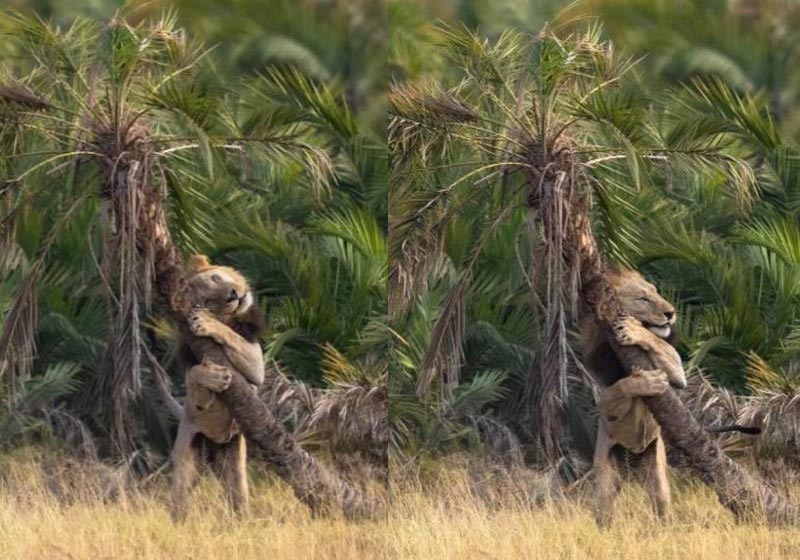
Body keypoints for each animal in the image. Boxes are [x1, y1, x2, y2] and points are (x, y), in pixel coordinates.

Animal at [170, 255, 266, 521]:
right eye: (210, 301)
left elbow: (232, 336)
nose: (233, 294)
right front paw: (213, 376)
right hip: (187, 460)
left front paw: (206, 323)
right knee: (179, 503)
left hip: (233, 462)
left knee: (238, 499)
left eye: (216, 278)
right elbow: (194, 375)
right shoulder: (197, 389)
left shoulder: (256, 366)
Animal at [581, 267, 686, 528]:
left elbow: (660, 343)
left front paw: (635, 331)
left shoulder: (679, 375)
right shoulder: (603, 399)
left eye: (656, 293)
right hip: (606, 475)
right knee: (604, 511)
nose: (671, 312)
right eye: (643, 299)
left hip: (656, 471)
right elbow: (621, 387)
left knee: (661, 504)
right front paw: (646, 382)